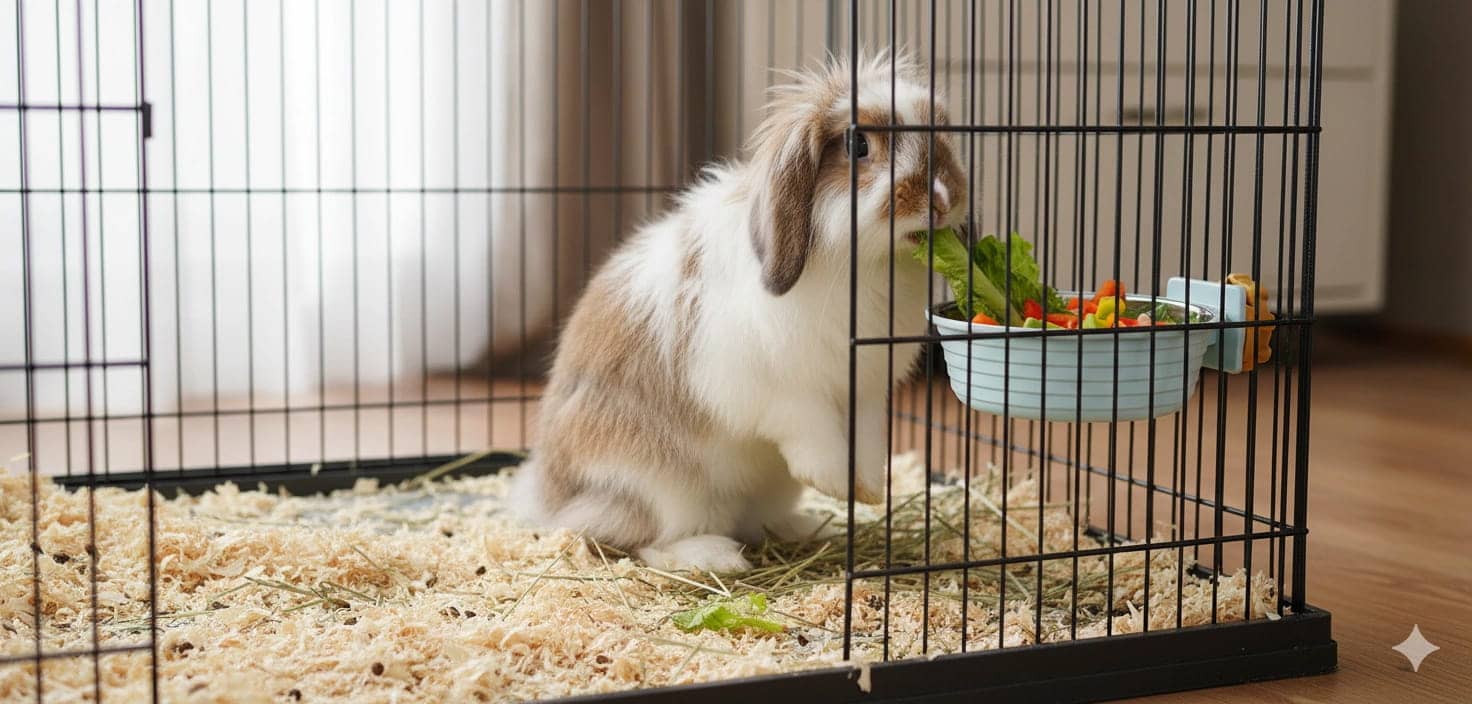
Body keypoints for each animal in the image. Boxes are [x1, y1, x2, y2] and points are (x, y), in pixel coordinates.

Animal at [510, 54, 969, 572]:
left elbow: (869, 438)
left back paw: (805, 526)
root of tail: (551, 502)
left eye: (941, 136)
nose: (941, 200)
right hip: (659, 486)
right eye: (858, 145)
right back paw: (713, 556)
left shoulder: (867, 388)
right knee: (635, 539)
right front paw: (835, 482)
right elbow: (811, 430)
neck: (863, 262)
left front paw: (868, 488)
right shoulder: (778, 389)